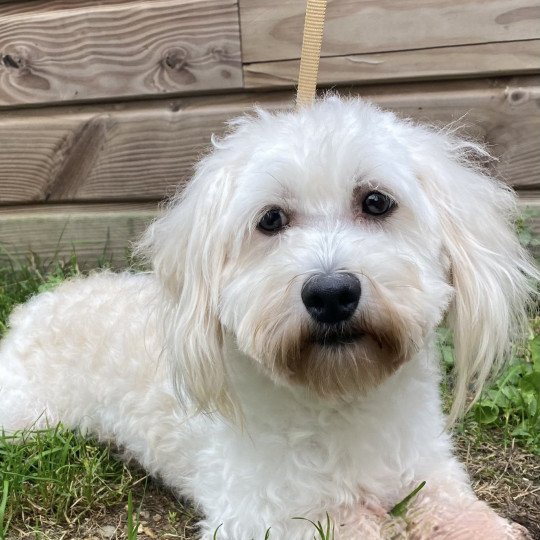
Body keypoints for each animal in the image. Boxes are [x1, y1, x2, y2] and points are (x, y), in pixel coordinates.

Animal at [0, 98, 536, 540]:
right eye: (271, 219)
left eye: (376, 201)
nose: (331, 294)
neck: (344, 397)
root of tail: (37, 304)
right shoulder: (261, 510)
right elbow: (346, 524)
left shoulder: (429, 468)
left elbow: (458, 510)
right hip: (28, 417)